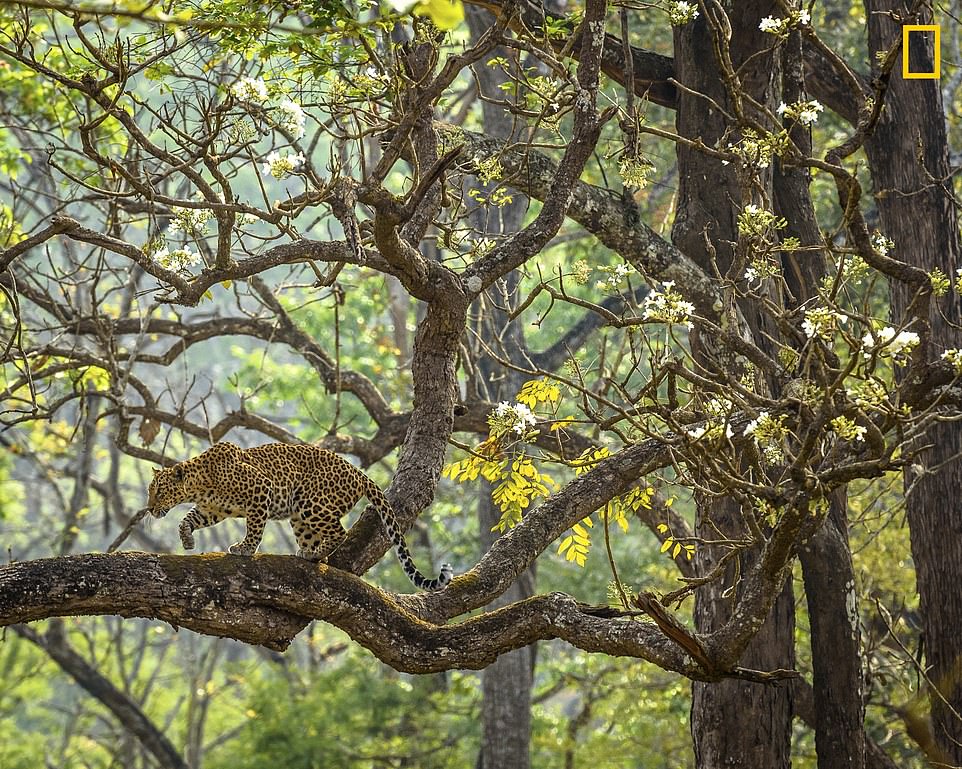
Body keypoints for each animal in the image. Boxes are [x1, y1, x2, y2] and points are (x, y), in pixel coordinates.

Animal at [146, 440, 454, 592]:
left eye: (159, 491)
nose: (149, 509)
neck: (199, 484)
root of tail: (358, 472)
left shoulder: (261, 489)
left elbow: (254, 527)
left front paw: (245, 548)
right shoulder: (213, 510)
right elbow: (188, 519)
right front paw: (187, 540)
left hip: (309, 501)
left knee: (339, 532)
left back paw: (315, 553)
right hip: (299, 516)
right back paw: (310, 554)